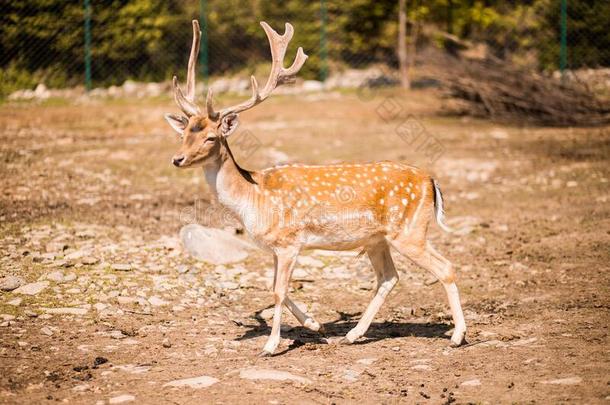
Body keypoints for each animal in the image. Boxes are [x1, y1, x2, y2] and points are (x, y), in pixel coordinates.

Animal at [163, 20, 466, 356]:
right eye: (184, 134)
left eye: (210, 138)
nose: (177, 159)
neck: (254, 197)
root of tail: (431, 181)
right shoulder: (276, 248)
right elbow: (276, 288)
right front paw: (314, 324)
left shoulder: (289, 242)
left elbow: (279, 291)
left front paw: (270, 345)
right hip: (378, 240)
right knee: (389, 277)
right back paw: (352, 335)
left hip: (410, 231)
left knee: (446, 267)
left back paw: (457, 336)